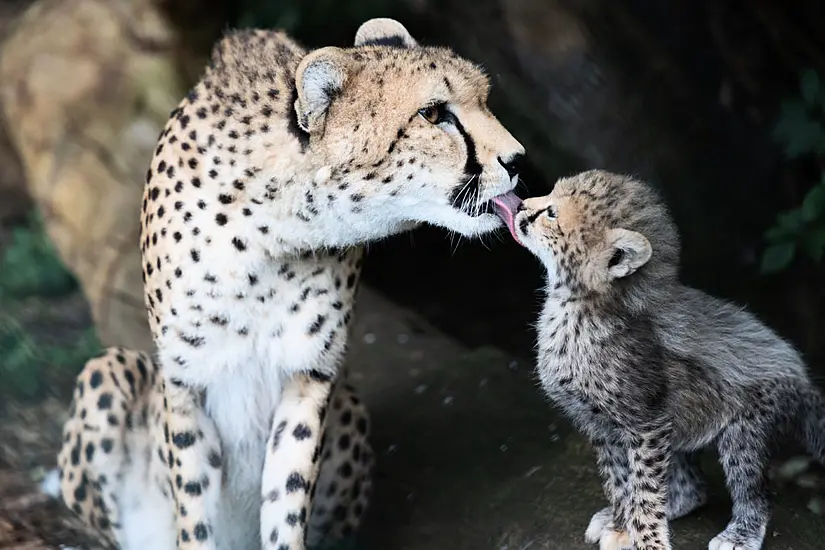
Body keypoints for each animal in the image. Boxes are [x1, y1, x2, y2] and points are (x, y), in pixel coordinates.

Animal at [56, 17, 520, 550]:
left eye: (483, 99)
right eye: (434, 114)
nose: (517, 159)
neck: (271, 232)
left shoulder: (309, 376)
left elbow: (288, 497)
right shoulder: (186, 380)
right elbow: (195, 511)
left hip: (348, 405)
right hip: (108, 369)